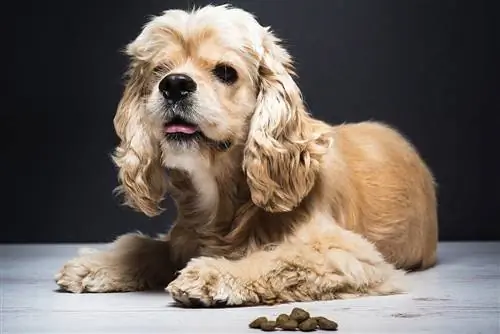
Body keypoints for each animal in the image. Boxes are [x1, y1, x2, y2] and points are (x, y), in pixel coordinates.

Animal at [54, 3, 438, 306]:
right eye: (159, 71)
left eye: (226, 72)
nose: (174, 84)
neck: (224, 197)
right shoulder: (182, 238)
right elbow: (146, 246)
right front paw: (97, 264)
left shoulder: (350, 256)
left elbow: (280, 259)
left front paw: (213, 274)